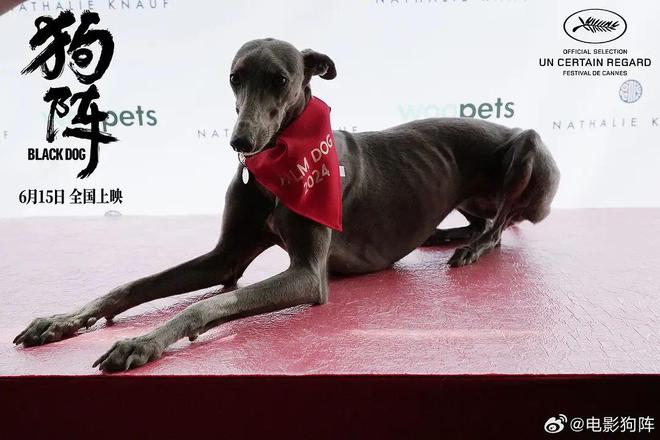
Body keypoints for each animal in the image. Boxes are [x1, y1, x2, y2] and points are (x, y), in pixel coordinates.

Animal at [12, 38, 560, 372]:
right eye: (234, 77)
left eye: (279, 79)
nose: (241, 142)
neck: (276, 169)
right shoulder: (225, 257)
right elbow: (134, 285)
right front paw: (61, 321)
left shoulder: (308, 276)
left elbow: (208, 304)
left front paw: (140, 343)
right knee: (482, 219)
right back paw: (445, 235)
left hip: (528, 145)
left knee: (501, 224)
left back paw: (470, 249)